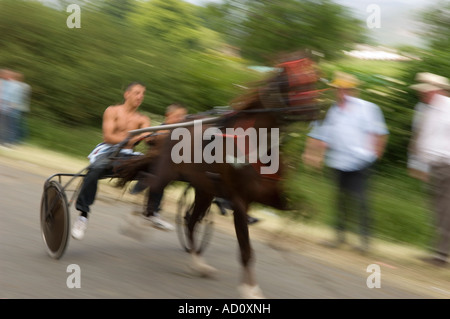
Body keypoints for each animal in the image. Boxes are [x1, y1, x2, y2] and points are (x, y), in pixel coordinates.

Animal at [114, 53, 322, 300]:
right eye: (295, 83)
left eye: (313, 79)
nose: (316, 110)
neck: (255, 144)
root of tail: (168, 131)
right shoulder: (240, 200)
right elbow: (246, 247)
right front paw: (250, 289)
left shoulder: (274, 196)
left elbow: (303, 209)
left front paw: (285, 241)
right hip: (167, 173)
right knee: (148, 183)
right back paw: (137, 221)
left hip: (204, 190)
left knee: (190, 220)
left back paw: (198, 264)